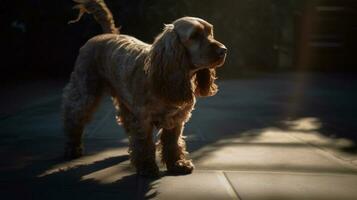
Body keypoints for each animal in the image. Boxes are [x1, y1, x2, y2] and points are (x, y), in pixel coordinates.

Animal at [62, 0, 227, 176]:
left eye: (210, 32)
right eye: (194, 36)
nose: (224, 50)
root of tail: (107, 34)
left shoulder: (176, 119)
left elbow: (172, 143)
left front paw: (178, 164)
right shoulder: (143, 118)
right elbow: (145, 143)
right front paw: (147, 167)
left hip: (123, 100)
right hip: (85, 91)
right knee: (73, 116)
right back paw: (73, 148)